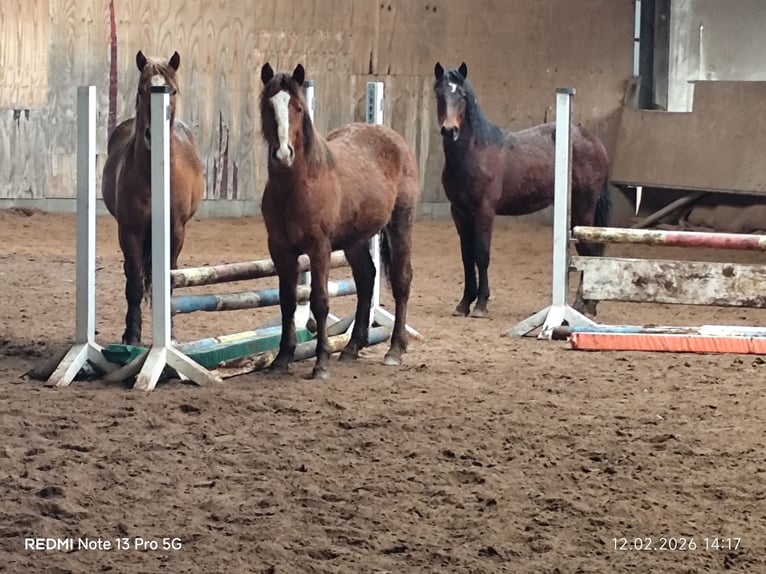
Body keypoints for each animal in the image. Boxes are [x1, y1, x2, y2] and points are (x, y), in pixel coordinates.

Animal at [102, 51, 204, 346]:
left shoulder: (176, 231)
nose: (151, 135)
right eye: (141, 90)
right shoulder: (131, 231)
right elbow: (135, 284)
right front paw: (132, 335)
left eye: (174, 90)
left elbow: (169, 281)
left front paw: (170, 335)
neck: (153, 177)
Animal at [258, 63, 420, 380]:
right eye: (268, 106)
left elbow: (320, 301)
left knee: (401, 279)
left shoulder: (319, 248)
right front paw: (282, 358)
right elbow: (287, 301)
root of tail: (395, 139)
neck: (298, 186)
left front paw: (321, 363)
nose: (283, 154)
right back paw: (352, 347)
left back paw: (394, 349)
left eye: (298, 107)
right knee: (367, 279)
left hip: (400, 224)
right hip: (355, 240)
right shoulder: (280, 250)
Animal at [433, 62, 610, 318]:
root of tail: (595, 141)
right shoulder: (459, 213)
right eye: (439, 94)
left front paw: (481, 304)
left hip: (583, 209)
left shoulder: (485, 211)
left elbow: (482, 255)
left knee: (590, 251)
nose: (449, 130)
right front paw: (464, 303)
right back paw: (583, 304)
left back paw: (587, 305)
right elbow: (467, 257)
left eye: (463, 96)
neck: (475, 153)